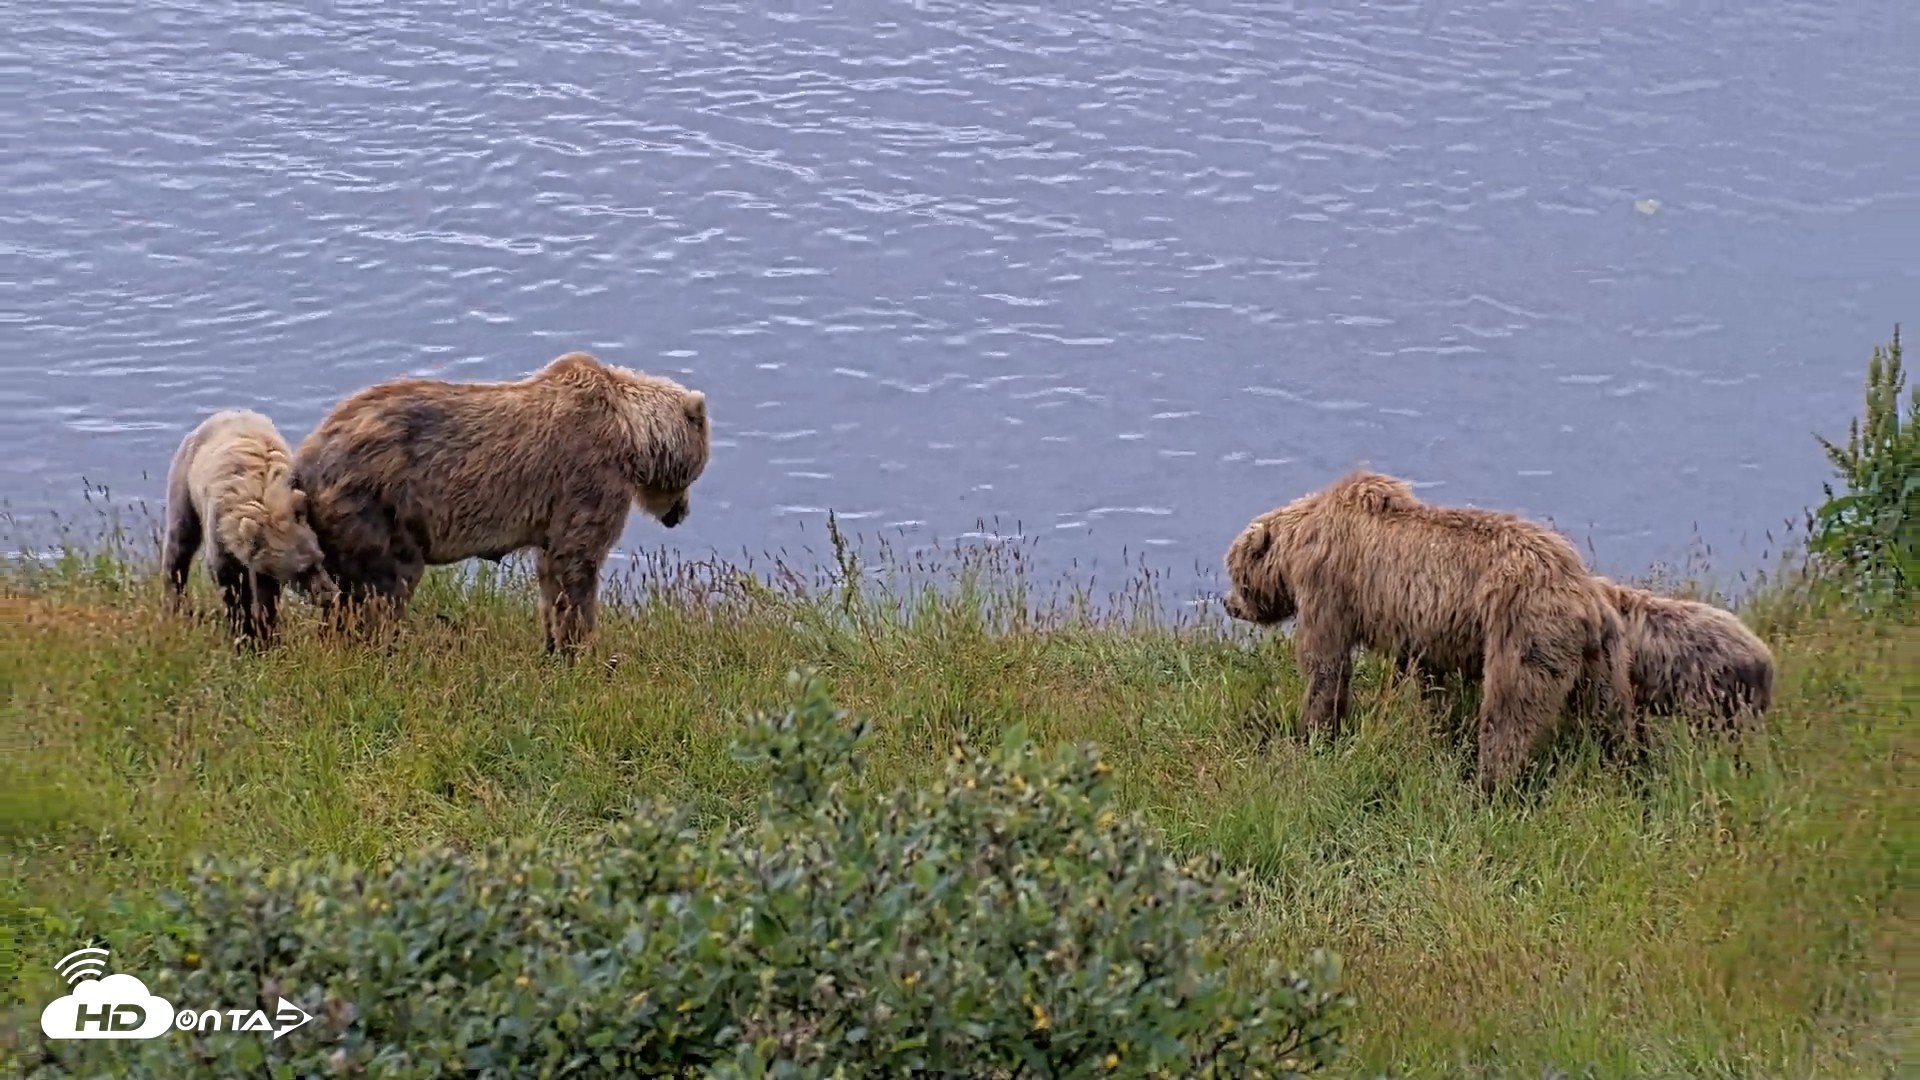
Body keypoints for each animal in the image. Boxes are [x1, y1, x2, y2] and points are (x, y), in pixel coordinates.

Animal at [162, 408, 337, 646]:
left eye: (320, 559)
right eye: (302, 570)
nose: (331, 594)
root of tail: (225, 412)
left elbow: (266, 593)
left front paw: (266, 632)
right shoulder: (219, 527)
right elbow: (231, 584)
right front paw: (243, 631)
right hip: (185, 480)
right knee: (180, 543)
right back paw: (174, 603)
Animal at [291, 350, 712, 655]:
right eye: (699, 466)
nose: (681, 512)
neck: (632, 435)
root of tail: (306, 457)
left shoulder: (553, 514)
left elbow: (551, 574)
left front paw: (554, 646)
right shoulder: (588, 476)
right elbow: (578, 563)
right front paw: (586, 650)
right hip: (378, 505)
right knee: (382, 587)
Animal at [1220, 469, 1637, 793]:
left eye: (1234, 571)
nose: (1228, 604)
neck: (1298, 545)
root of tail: (1581, 589)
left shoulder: (1330, 586)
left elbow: (1326, 664)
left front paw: (1312, 734)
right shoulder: (1421, 629)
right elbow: (1428, 684)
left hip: (1523, 627)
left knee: (1510, 708)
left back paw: (1489, 784)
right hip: (1603, 652)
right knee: (1608, 712)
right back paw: (1624, 766)